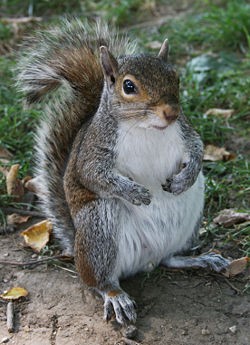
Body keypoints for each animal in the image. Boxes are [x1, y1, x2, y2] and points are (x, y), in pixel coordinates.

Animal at [16, 18, 230, 324]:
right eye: (128, 86)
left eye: (175, 77)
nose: (171, 112)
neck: (147, 127)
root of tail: (146, 260)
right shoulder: (93, 150)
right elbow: (93, 174)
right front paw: (135, 192)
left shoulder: (186, 131)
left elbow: (198, 148)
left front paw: (183, 178)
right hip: (99, 224)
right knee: (98, 281)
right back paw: (115, 295)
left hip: (191, 216)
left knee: (170, 258)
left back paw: (200, 259)